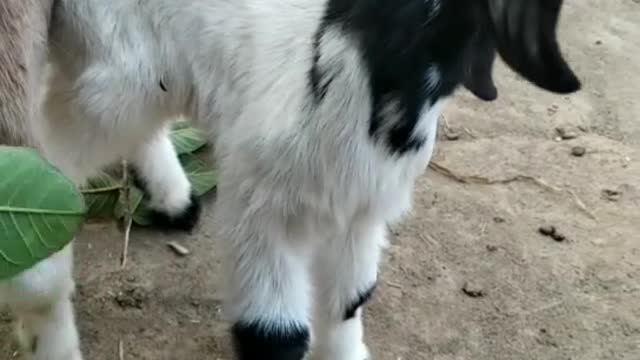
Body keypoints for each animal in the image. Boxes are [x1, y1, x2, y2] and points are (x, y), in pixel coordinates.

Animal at [0, 0, 580, 358]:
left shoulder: (361, 216)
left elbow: (350, 300)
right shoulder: (264, 212)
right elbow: (273, 335)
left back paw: (175, 201)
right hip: (114, 74)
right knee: (56, 154)